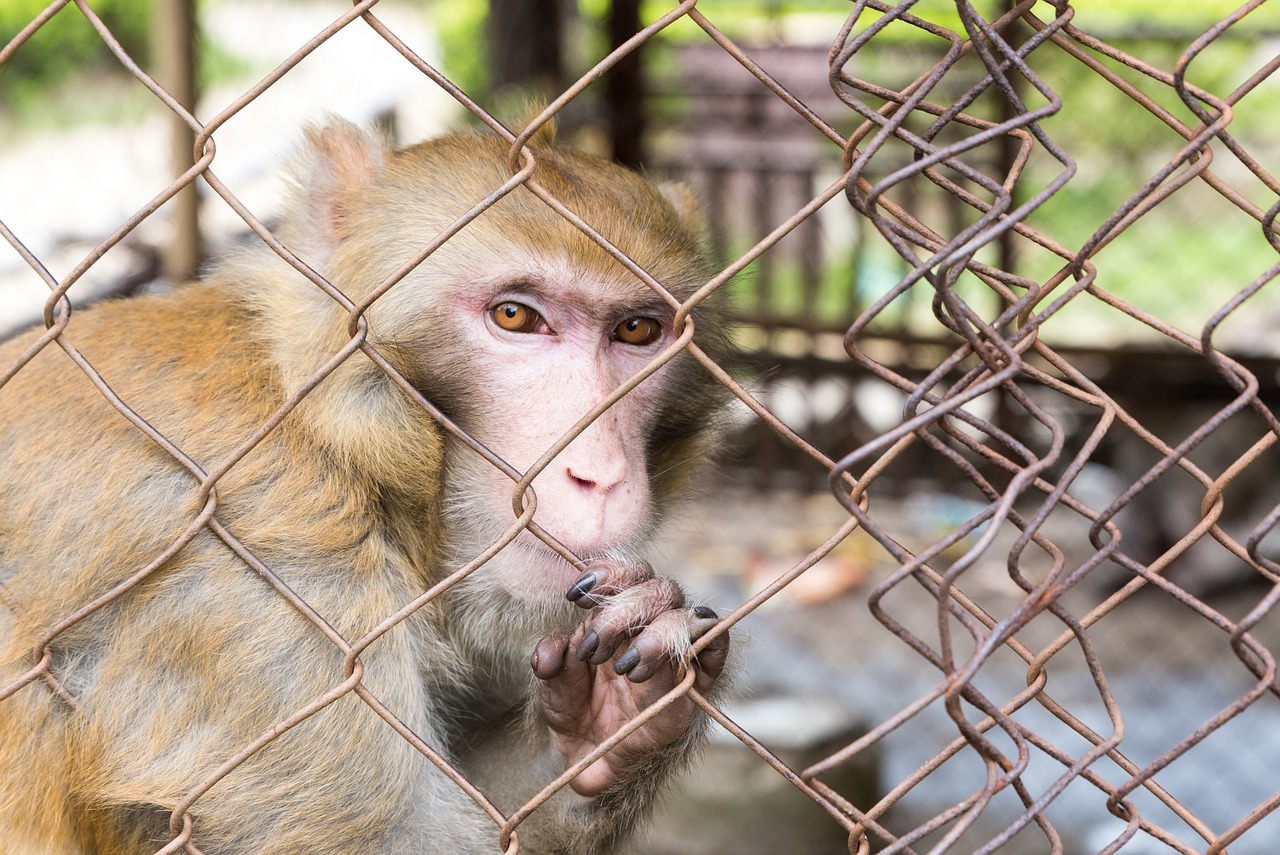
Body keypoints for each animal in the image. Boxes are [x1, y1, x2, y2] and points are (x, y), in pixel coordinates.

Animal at [0, 120, 732, 855]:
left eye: (636, 330)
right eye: (516, 317)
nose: (600, 475)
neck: (335, 434)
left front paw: (607, 723)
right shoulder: (262, 562)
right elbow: (395, 835)